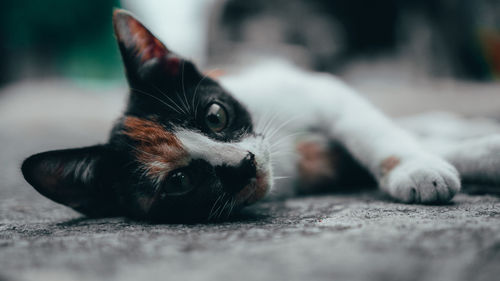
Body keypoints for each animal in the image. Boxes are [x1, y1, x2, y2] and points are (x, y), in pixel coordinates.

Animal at [21, 9, 500, 222]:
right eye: (179, 181)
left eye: (215, 116)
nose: (243, 165)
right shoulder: (317, 165)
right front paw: (469, 158)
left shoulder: (318, 90)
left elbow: (367, 127)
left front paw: (416, 167)